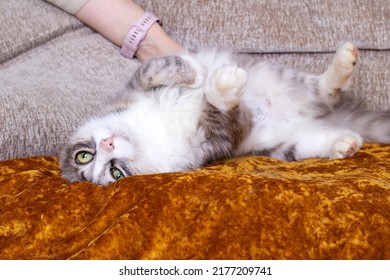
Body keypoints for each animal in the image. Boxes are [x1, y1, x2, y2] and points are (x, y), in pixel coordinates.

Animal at [59, 42, 390, 186]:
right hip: (285, 147)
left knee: (326, 89)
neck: (147, 133)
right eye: (115, 173)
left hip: (279, 78)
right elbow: (217, 109)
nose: (108, 144)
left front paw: (195, 72)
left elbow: (158, 68)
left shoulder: (134, 86)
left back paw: (345, 59)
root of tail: (301, 115)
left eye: (83, 155)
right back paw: (344, 144)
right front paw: (222, 83)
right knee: (326, 107)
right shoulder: (217, 140)